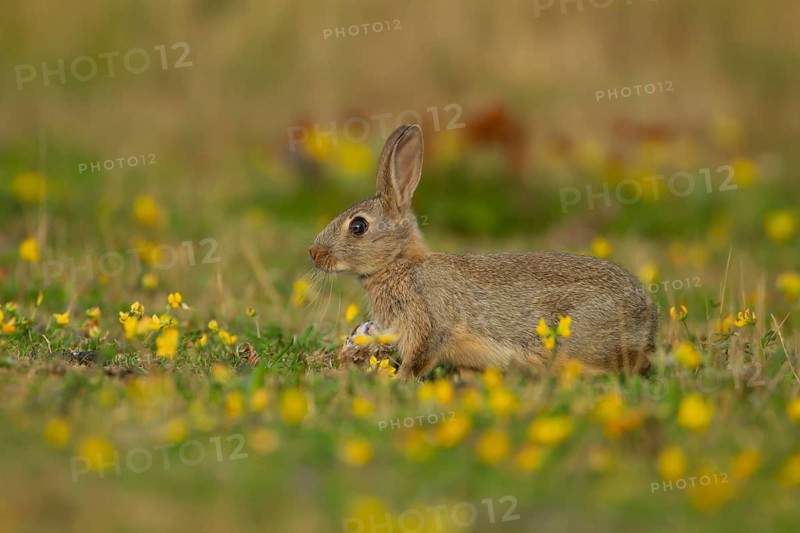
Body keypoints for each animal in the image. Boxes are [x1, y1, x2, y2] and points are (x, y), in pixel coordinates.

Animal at [309, 124, 657, 379]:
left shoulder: (429, 323)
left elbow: (419, 358)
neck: (400, 265)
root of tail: (647, 322)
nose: (313, 253)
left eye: (358, 226)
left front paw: (398, 380)